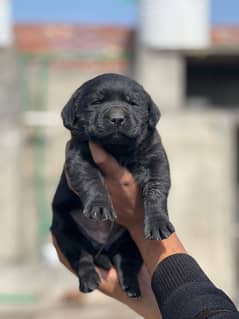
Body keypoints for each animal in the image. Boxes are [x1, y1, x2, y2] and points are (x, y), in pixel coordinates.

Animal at [51, 74, 174, 296]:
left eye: (133, 103)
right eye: (96, 102)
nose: (117, 118)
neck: (117, 150)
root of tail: (102, 246)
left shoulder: (155, 157)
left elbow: (157, 188)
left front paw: (158, 222)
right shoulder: (79, 155)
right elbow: (91, 180)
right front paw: (100, 207)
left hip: (130, 241)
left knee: (127, 259)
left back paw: (131, 286)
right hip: (65, 228)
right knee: (82, 257)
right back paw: (89, 280)